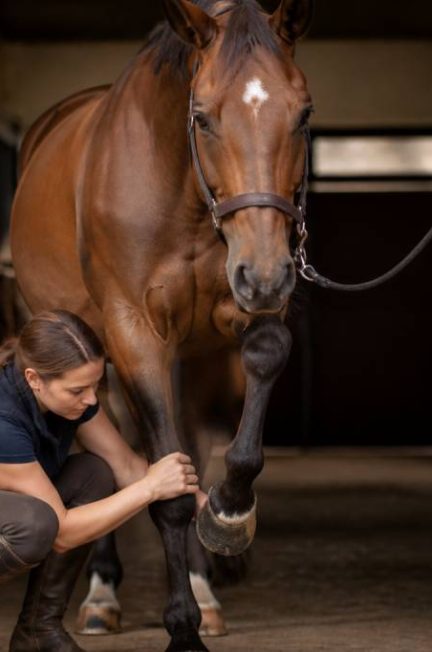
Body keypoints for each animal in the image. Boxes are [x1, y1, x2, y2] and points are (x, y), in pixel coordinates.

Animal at [10, 1, 314, 650]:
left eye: (303, 115)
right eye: (201, 117)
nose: (267, 275)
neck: (182, 192)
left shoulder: (237, 321)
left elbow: (262, 364)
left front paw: (228, 514)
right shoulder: (134, 337)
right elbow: (163, 488)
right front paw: (182, 629)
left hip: (194, 354)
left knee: (193, 439)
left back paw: (205, 585)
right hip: (92, 358)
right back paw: (101, 594)